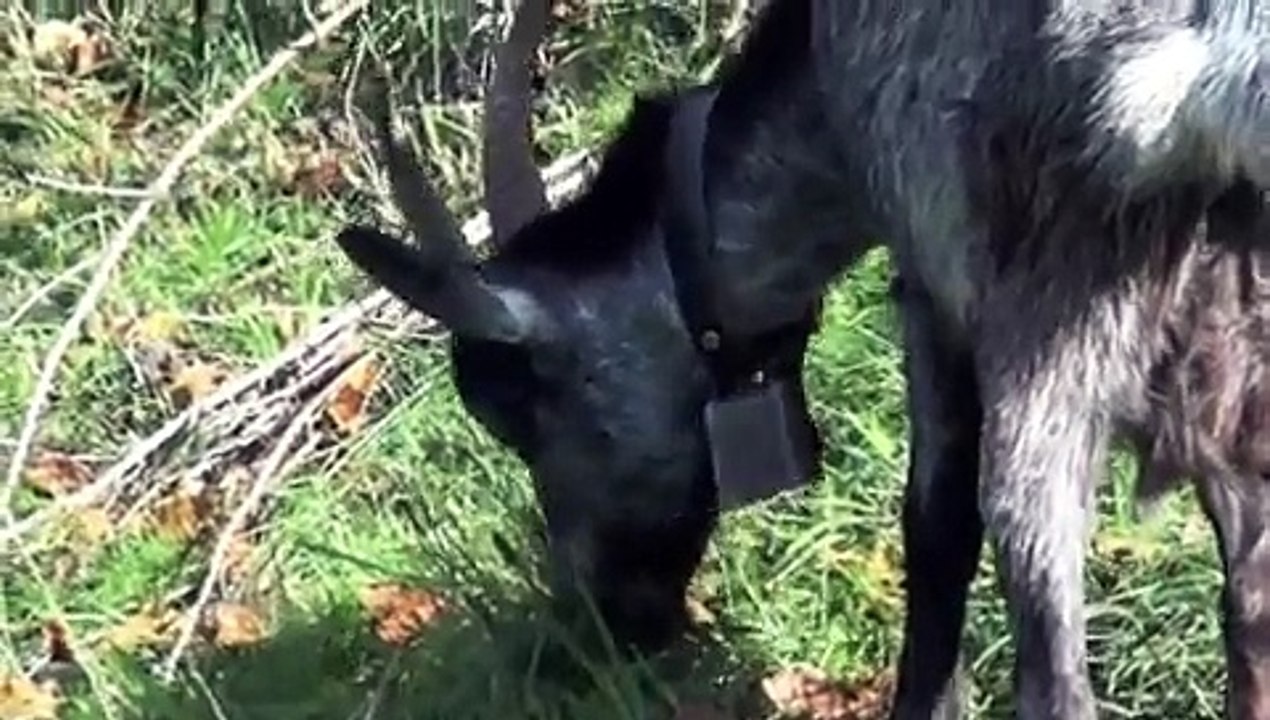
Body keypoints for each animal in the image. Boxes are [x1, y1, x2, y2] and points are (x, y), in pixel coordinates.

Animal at [333, 0, 1270, 717]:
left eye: (522, 412)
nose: (595, 626)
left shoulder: (940, 276)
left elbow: (935, 527)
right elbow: (1251, 601)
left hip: (1051, 316)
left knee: (1052, 667)